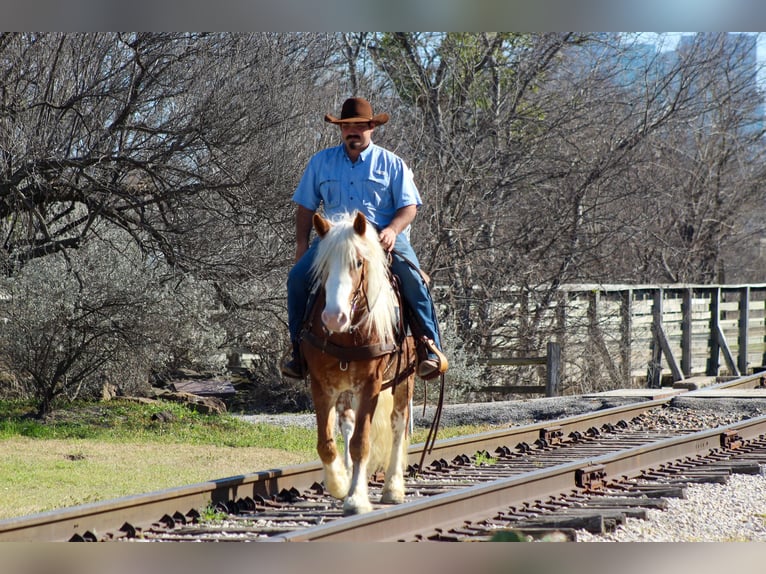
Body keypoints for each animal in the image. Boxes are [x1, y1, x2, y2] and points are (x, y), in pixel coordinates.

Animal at [302, 212, 420, 516]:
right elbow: (326, 444)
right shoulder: (322, 385)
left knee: (398, 424)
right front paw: (341, 484)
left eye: (357, 262)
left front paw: (356, 499)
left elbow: (361, 443)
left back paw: (393, 488)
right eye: (322, 265)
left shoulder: (371, 385)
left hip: (405, 378)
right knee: (347, 424)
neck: (347, 335)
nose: (334, 318)